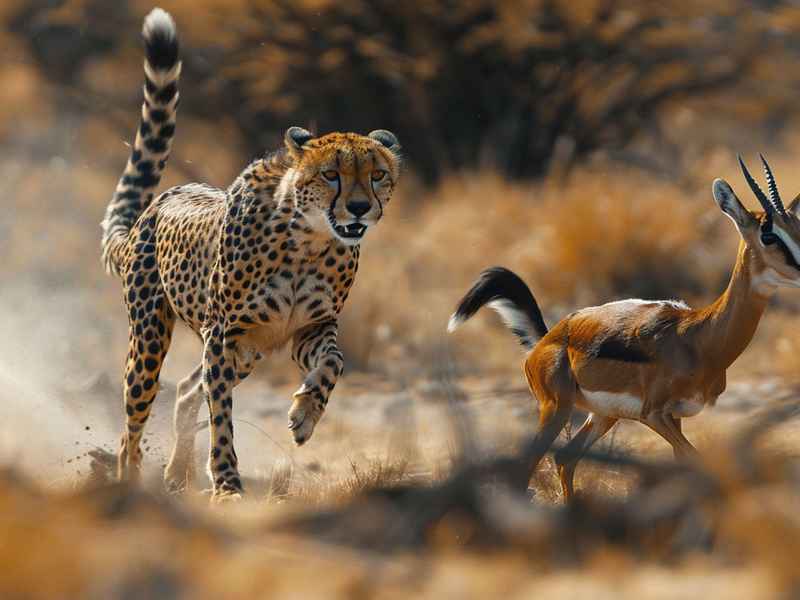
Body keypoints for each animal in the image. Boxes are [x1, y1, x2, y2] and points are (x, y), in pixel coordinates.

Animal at [448, 156, 800, 500]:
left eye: (796, 229)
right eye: (768, 235)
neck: (699, 336)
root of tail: (548, 337)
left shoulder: (675, 416)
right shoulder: (653, 413)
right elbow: (695, 461)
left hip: (603, 415)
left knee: (565, 457)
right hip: (556, 408)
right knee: (530, 465)